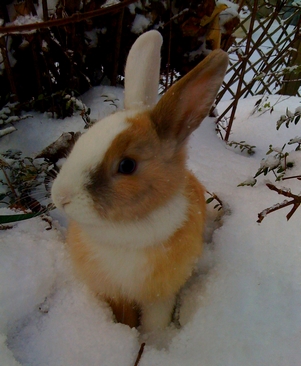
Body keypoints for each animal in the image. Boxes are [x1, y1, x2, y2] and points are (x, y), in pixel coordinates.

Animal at [51, 30, 227, 334]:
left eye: (127, 165)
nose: (61, 197)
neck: (124, 235)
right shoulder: (114, 293)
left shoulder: (160, 295)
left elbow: (156, 320)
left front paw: (153, 340)